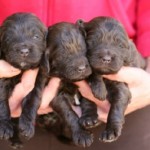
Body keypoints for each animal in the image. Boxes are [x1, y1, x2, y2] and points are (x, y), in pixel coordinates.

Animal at [0, 12, 47, 147]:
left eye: (36, 36)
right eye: (8, 39)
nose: (24, 51)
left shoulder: (37, 81)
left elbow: (32, 100)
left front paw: (27, 126)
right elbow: (2, 101)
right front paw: (4, 126)